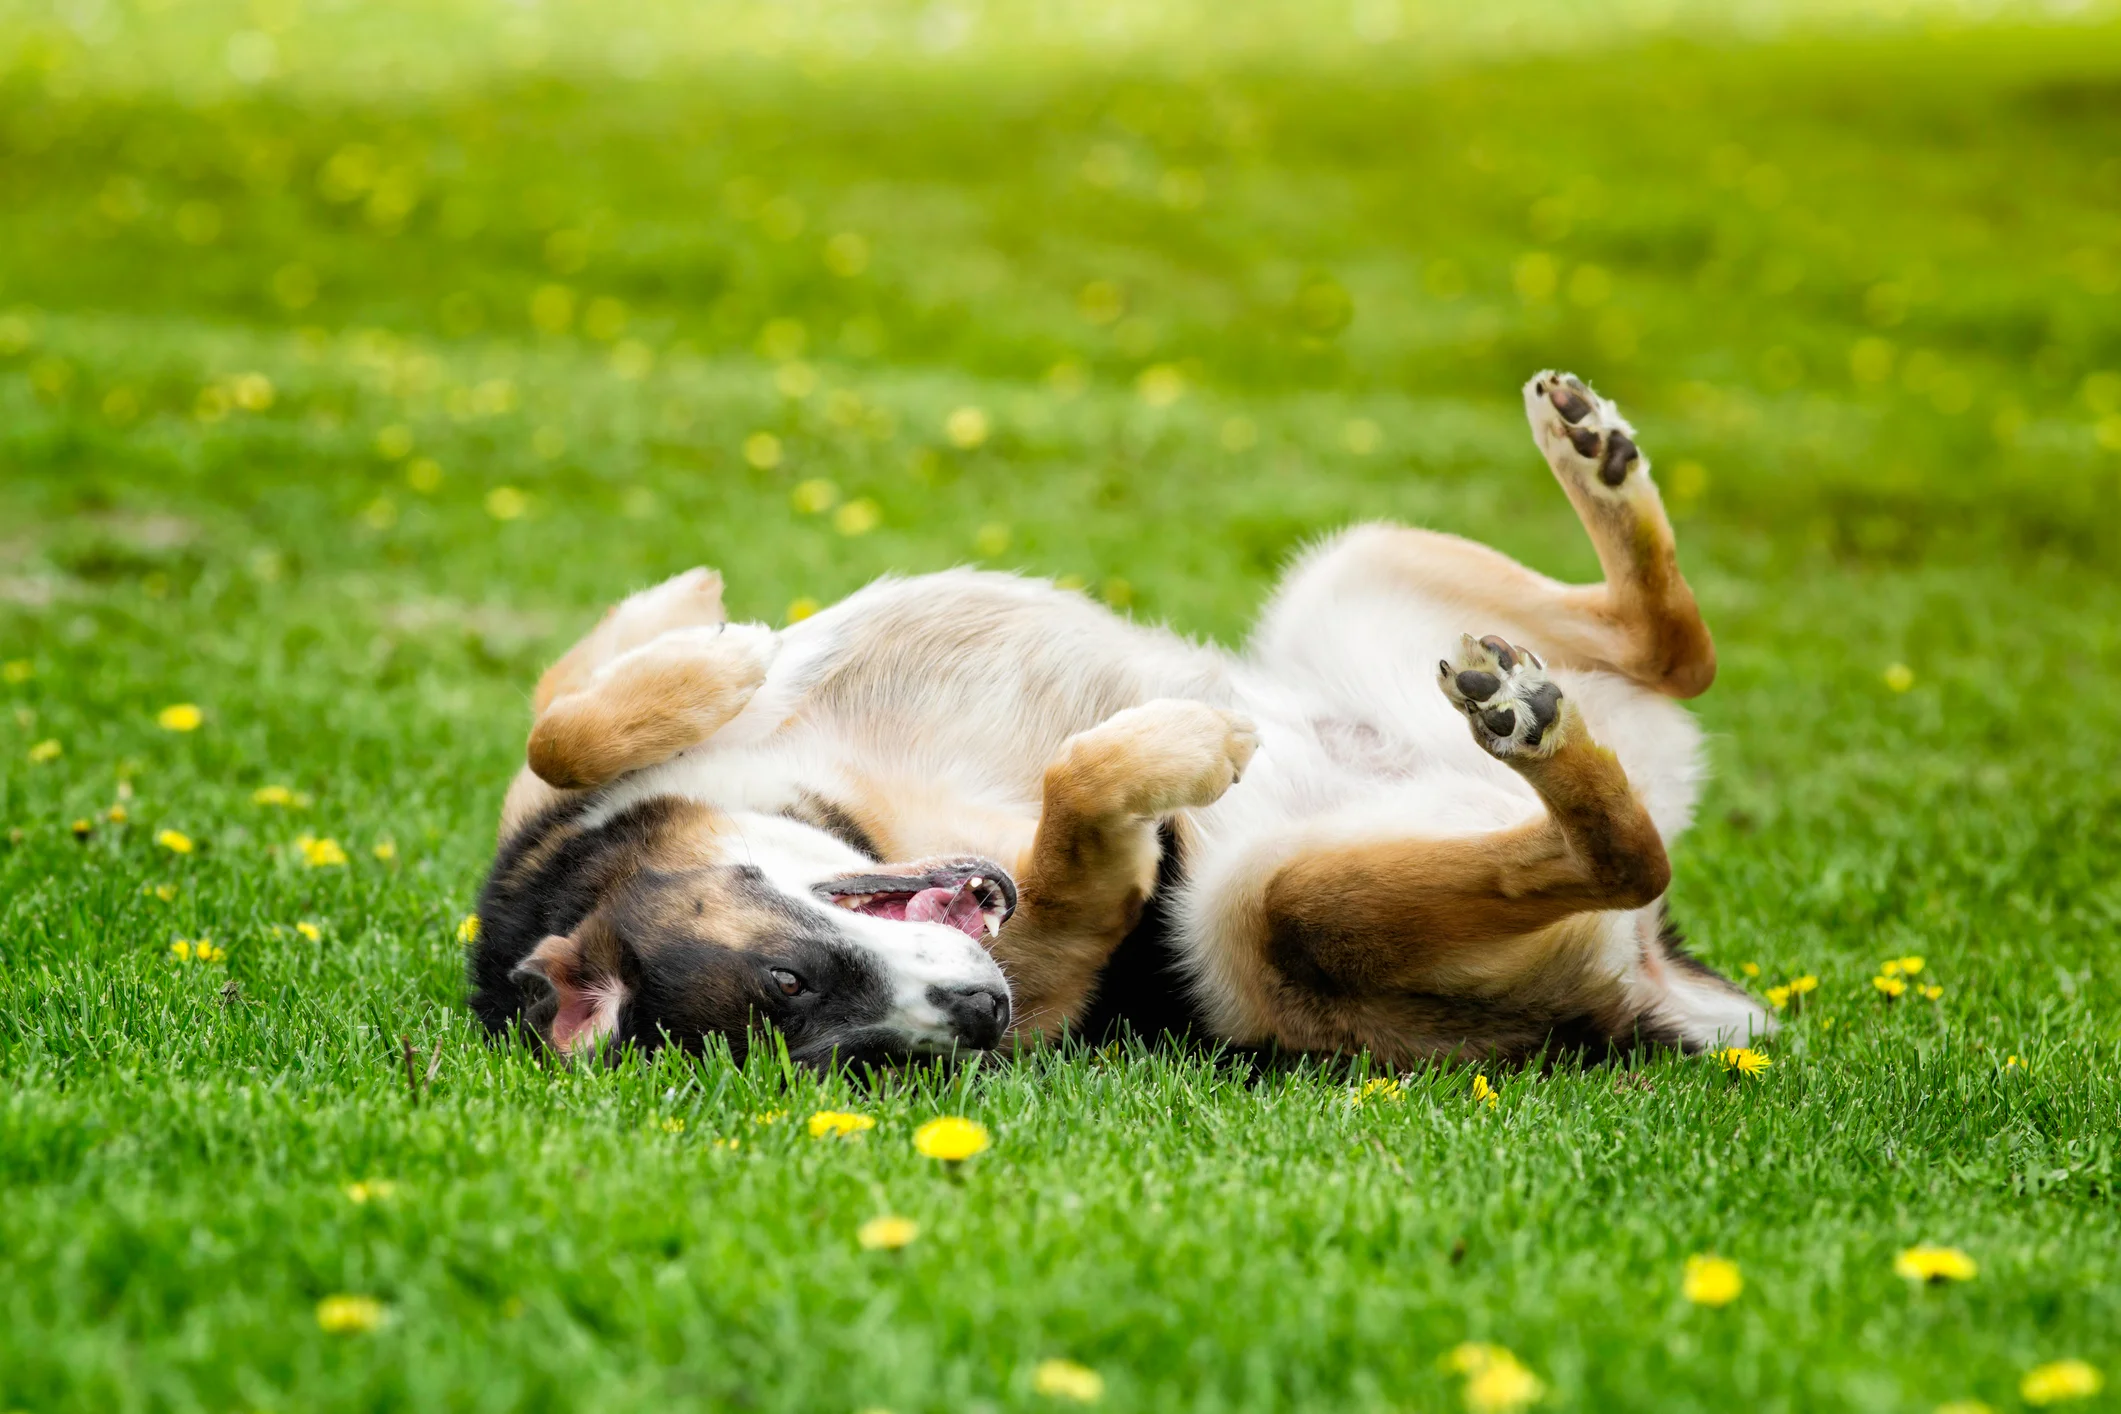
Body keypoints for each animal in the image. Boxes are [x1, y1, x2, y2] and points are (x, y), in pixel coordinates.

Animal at [468, 370, 1773, 1068]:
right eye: (859, 1058)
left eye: (788, 979)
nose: (982, 1012)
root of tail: (1651, 986)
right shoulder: (1061, 948)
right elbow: (1080, 807)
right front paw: (1168, 753)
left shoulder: (551, 774)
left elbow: (559, 717)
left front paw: (709, 639)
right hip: (1272, 920)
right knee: (1620, 841)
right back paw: (1537, 733)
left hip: (1353, 565)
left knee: (1679, 650)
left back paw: (1592, 459)